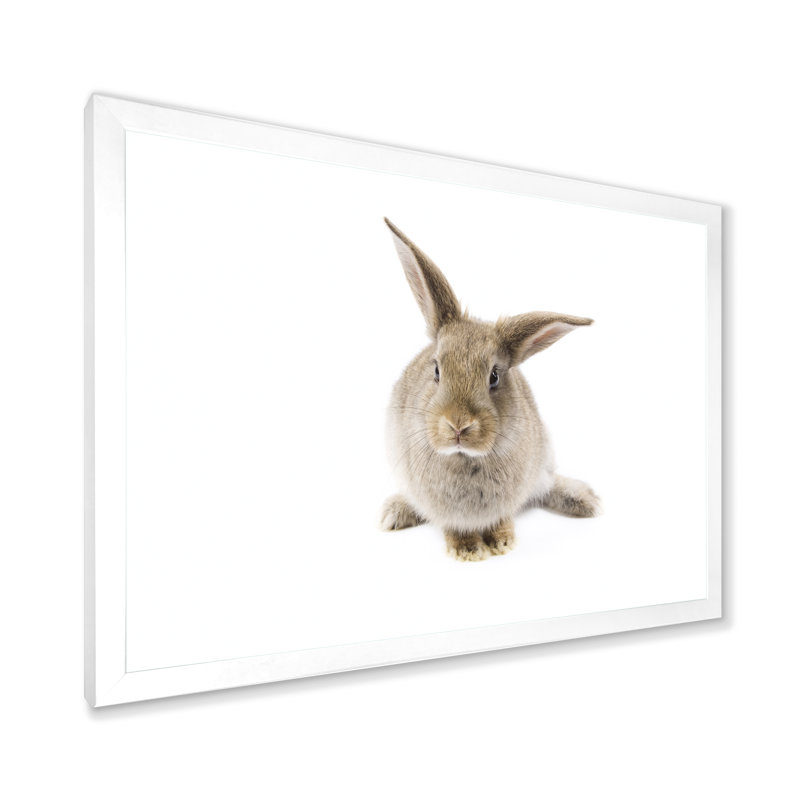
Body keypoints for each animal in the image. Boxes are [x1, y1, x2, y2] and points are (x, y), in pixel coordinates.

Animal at [379, 218, 600, 561]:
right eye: (436, 370)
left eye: (494, 377)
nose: (458, 425)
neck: (464, 458)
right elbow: (453, 526)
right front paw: (468, 550)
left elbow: (502, 519)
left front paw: (500, 542)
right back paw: (394, 513)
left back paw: (587, 501)